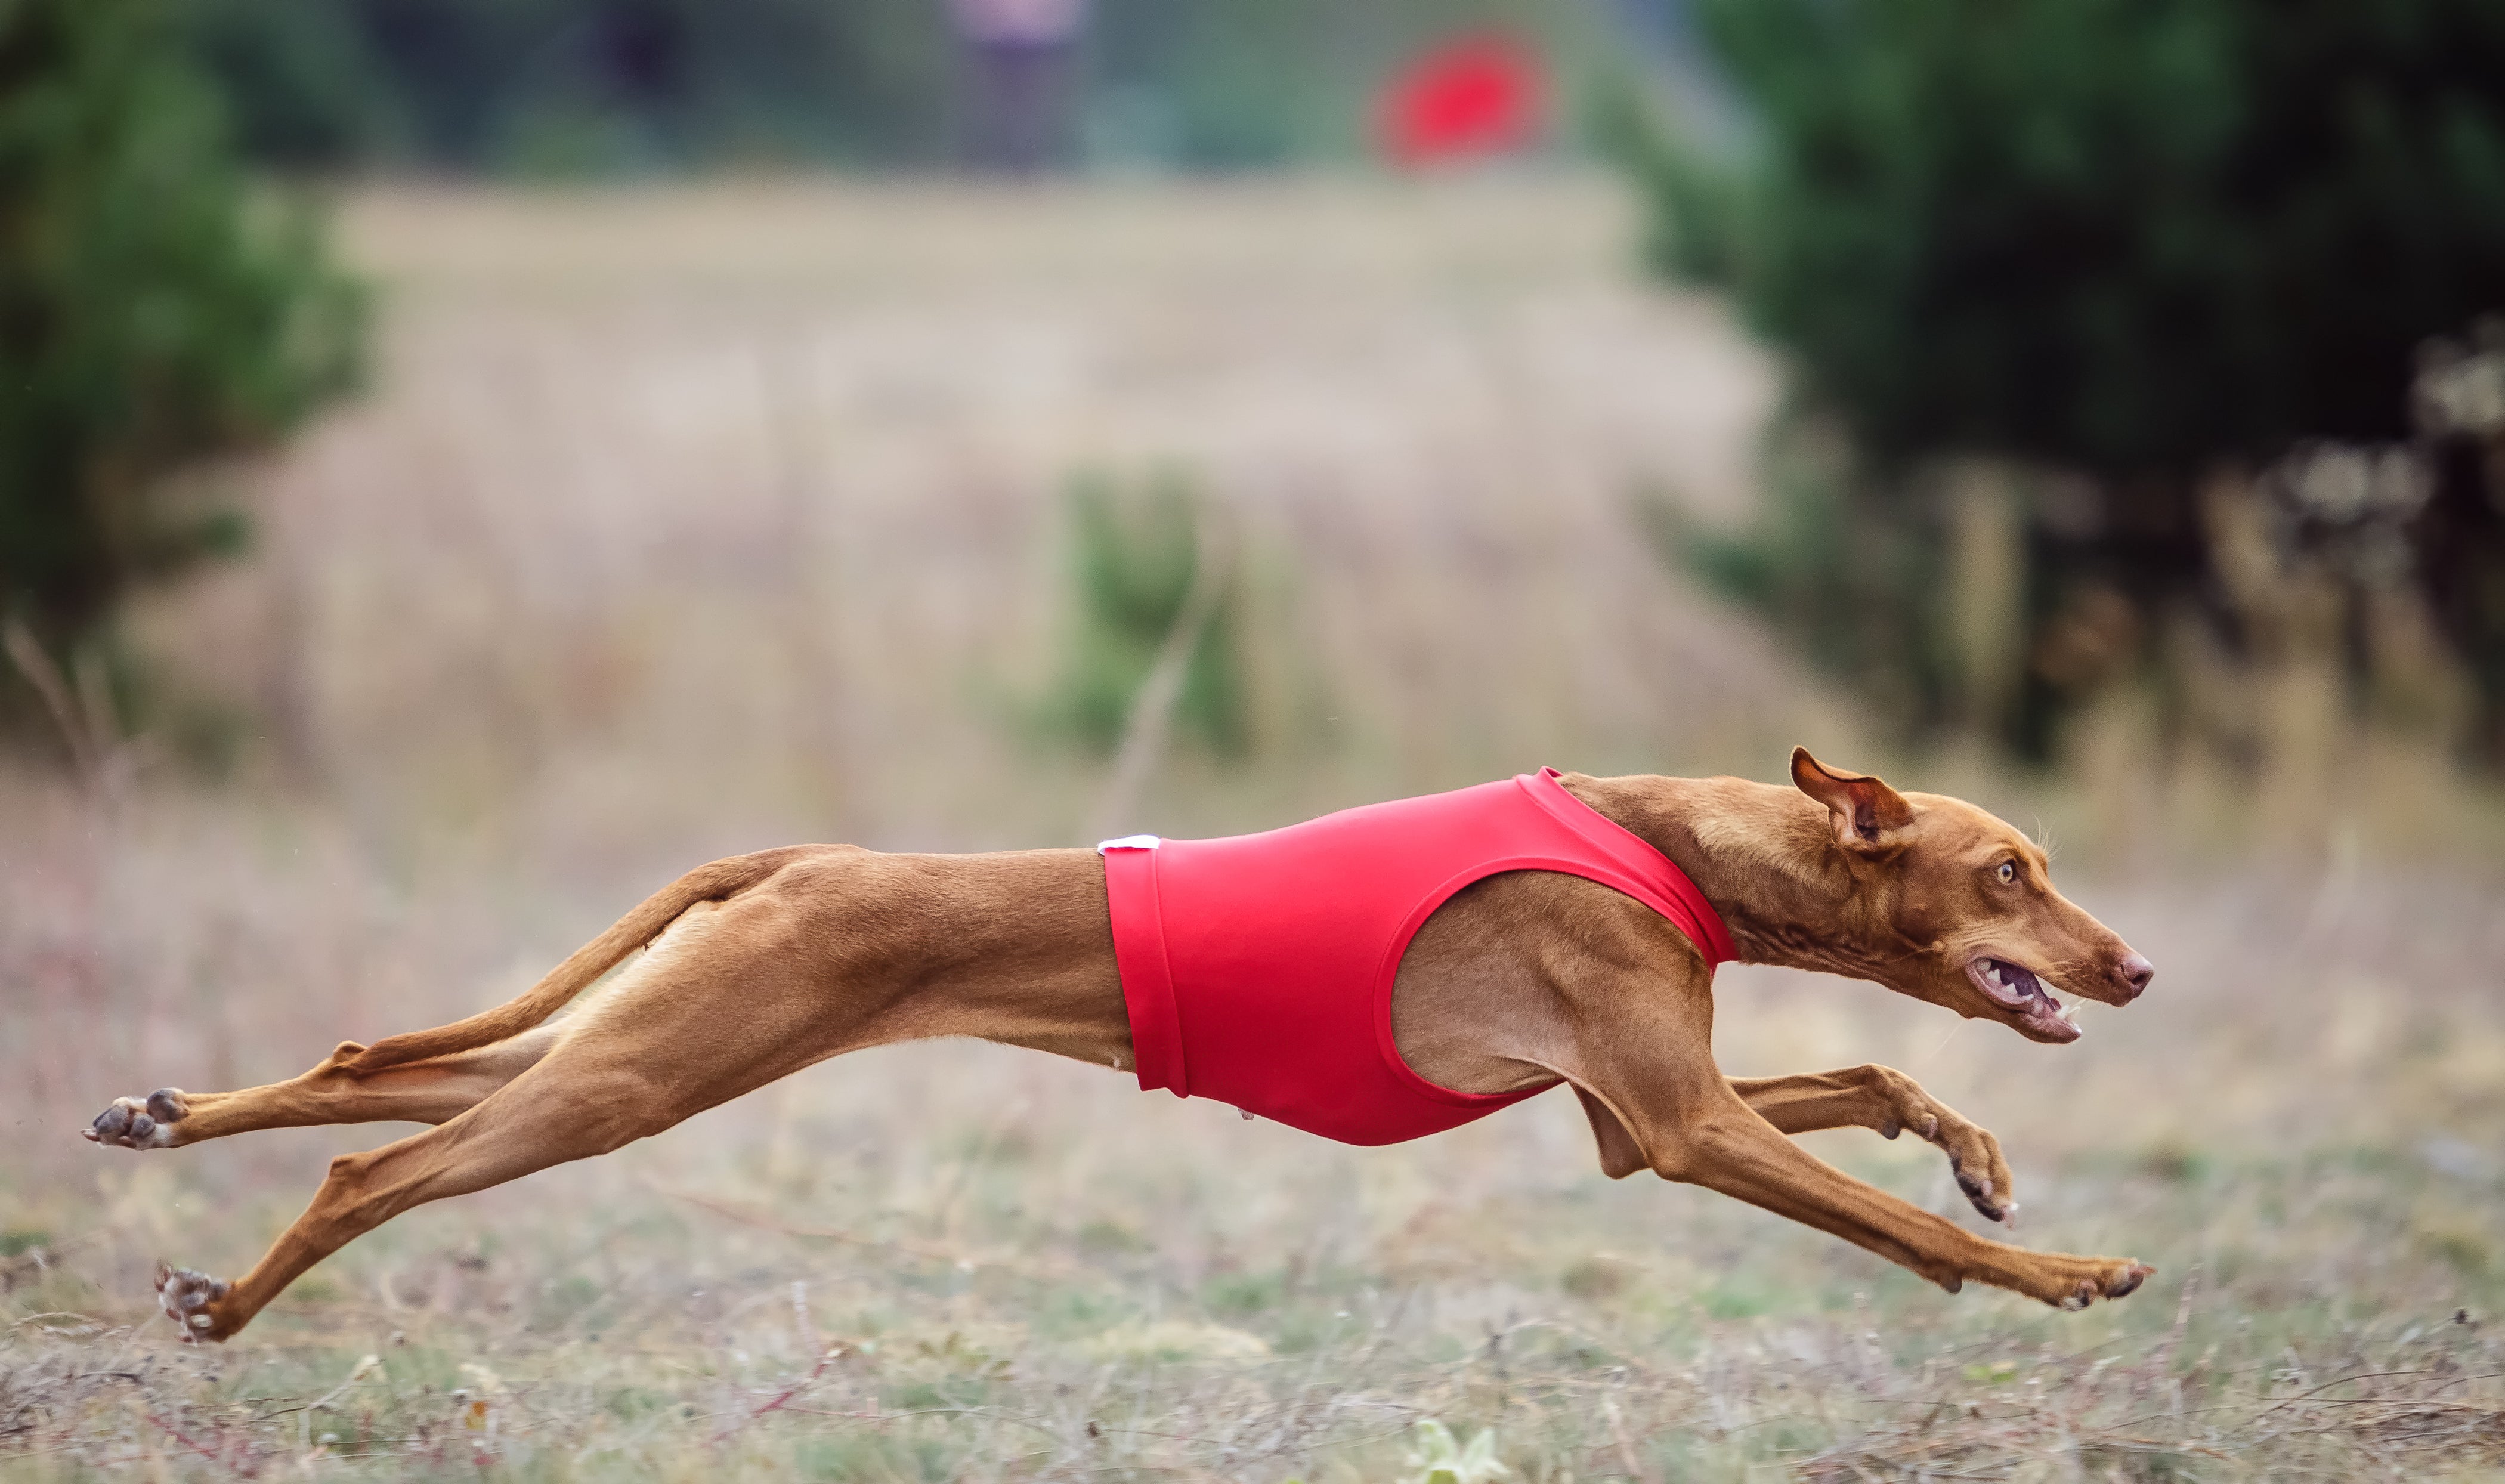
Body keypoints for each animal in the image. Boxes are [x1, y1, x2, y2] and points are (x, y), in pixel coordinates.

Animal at [83, 747, 2154, 1343]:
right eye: (2010, 868)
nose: (2133, 968)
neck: (1677, 841)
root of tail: (804, 853)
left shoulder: (1635, 1119)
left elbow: (1887, 1088)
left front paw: (1982, 1154)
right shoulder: (1683, 1122)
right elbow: (1904, 1223)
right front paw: (2062, 1269)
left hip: (615, 1051)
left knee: (362, 1071)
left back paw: (162, 1113)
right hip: (632, 1080)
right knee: (375, 1161)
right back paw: (230, 1301)